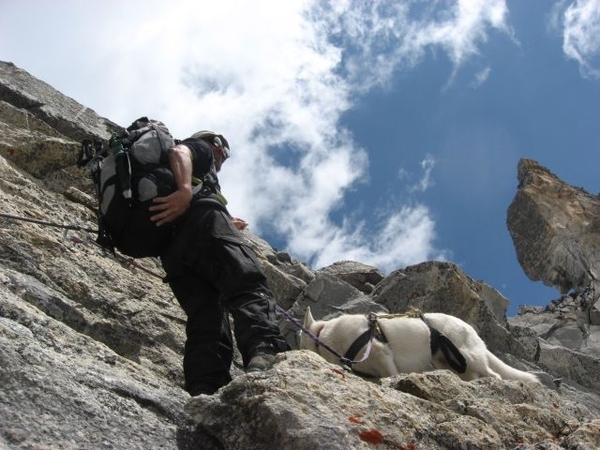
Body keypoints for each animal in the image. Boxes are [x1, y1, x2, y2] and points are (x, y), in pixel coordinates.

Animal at [300, 306, 540, 384]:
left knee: (494, 374)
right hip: (451, 363)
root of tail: (470, 328)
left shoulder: (382, 353)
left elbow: (392, 373)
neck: (323, 335)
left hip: (469, 356)